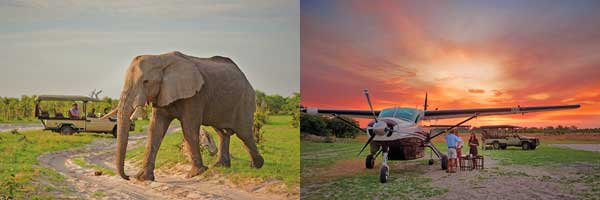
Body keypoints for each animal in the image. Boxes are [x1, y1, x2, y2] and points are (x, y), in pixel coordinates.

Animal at [114, 51, 262, 181]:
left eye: (146, 81)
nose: (128, 177)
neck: (160, 58)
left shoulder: (195, 95)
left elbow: (189, 127)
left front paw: (195, 174)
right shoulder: (162, 93)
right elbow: (155, 129)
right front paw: (142, 178)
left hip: (245, 100)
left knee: (244, 133)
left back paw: (257, 166)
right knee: (222, 132)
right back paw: (221, 166)